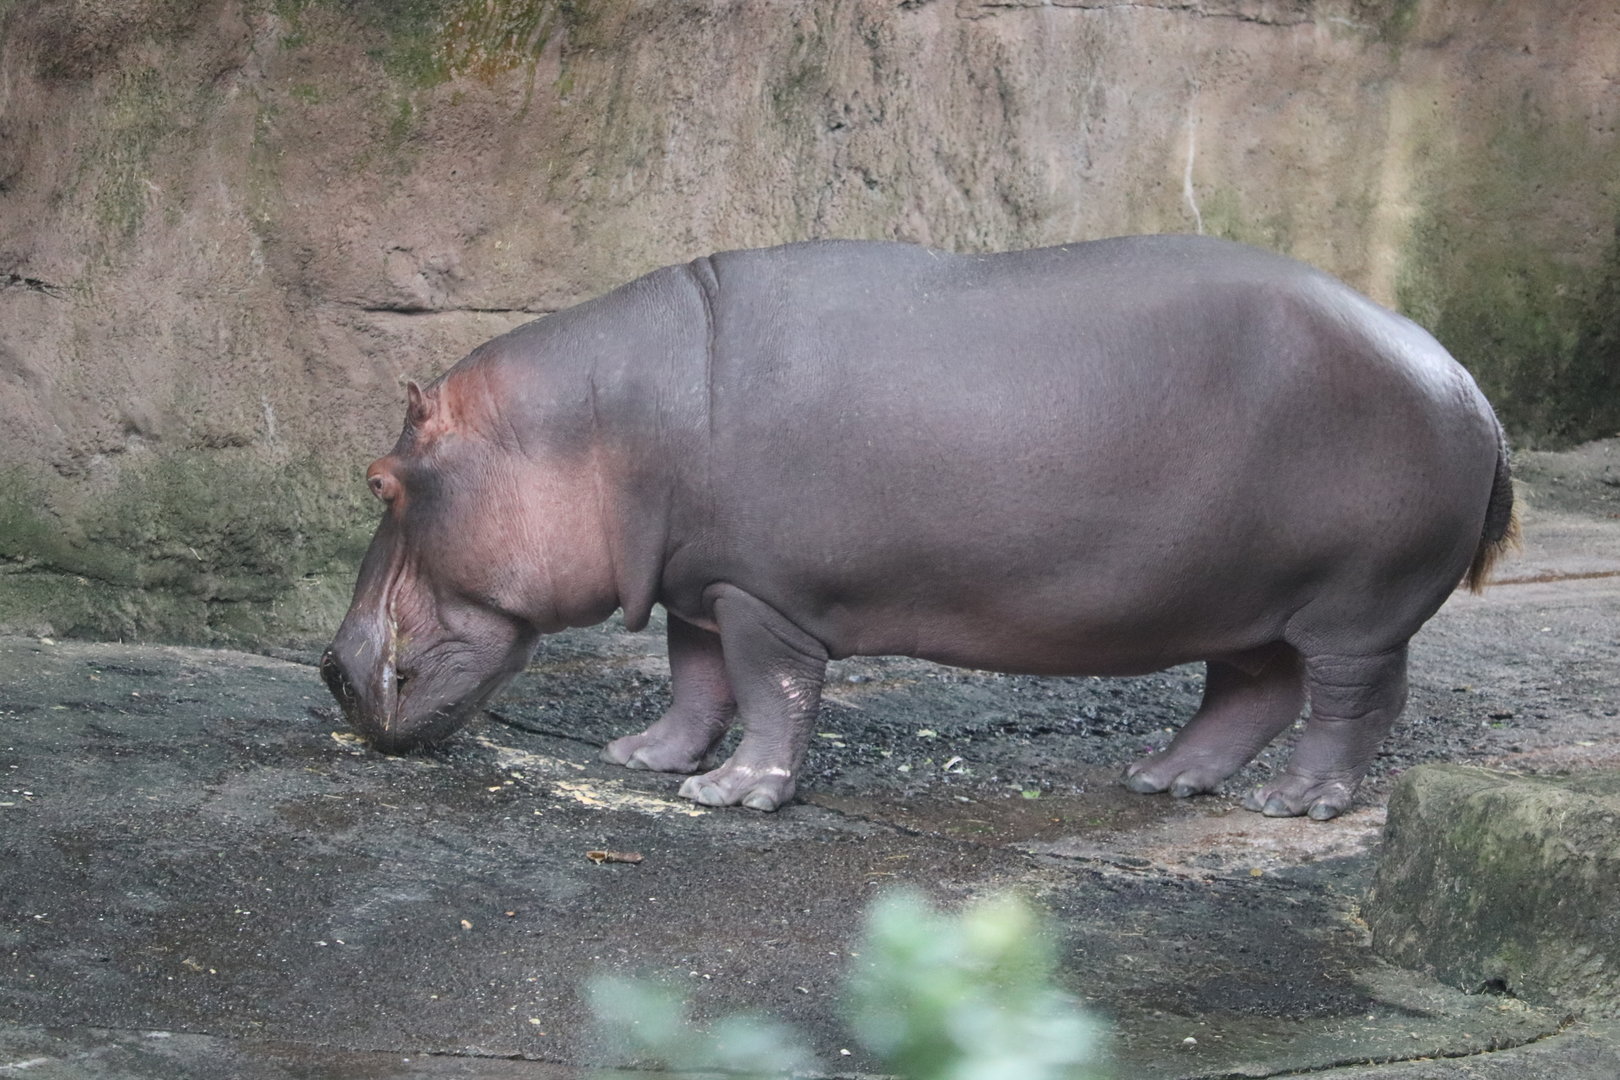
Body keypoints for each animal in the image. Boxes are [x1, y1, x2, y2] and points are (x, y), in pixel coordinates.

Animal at [320, 235, 1517, 820]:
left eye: (380, 481)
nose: (330, 670)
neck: (592, 424)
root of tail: (1468, 377)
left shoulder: (763, 596)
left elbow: (770, 694)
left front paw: (731, 797)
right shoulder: (702, 584)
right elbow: (693, 680)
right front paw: (645, 759)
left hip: (1354, 605)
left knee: (1353, 702)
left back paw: (1297, 805)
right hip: (1241, 595)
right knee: (1251, 690)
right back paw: (1163, 779)